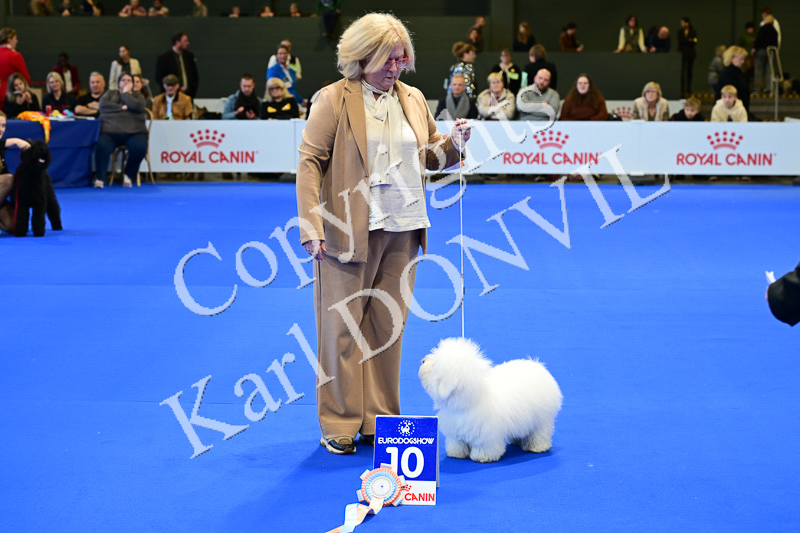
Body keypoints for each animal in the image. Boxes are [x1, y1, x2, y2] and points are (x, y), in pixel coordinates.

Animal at [419, 337, 563, 463]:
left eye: (435, 366)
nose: (423, 360)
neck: (469, 400)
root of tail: (539, 366)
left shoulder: (486, 435)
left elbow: (485, 447)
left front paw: (482, 457)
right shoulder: (456, 432)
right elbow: (457, 444)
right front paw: (456, 454)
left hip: (542, 419)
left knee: (540, 434)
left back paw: (536, 447)